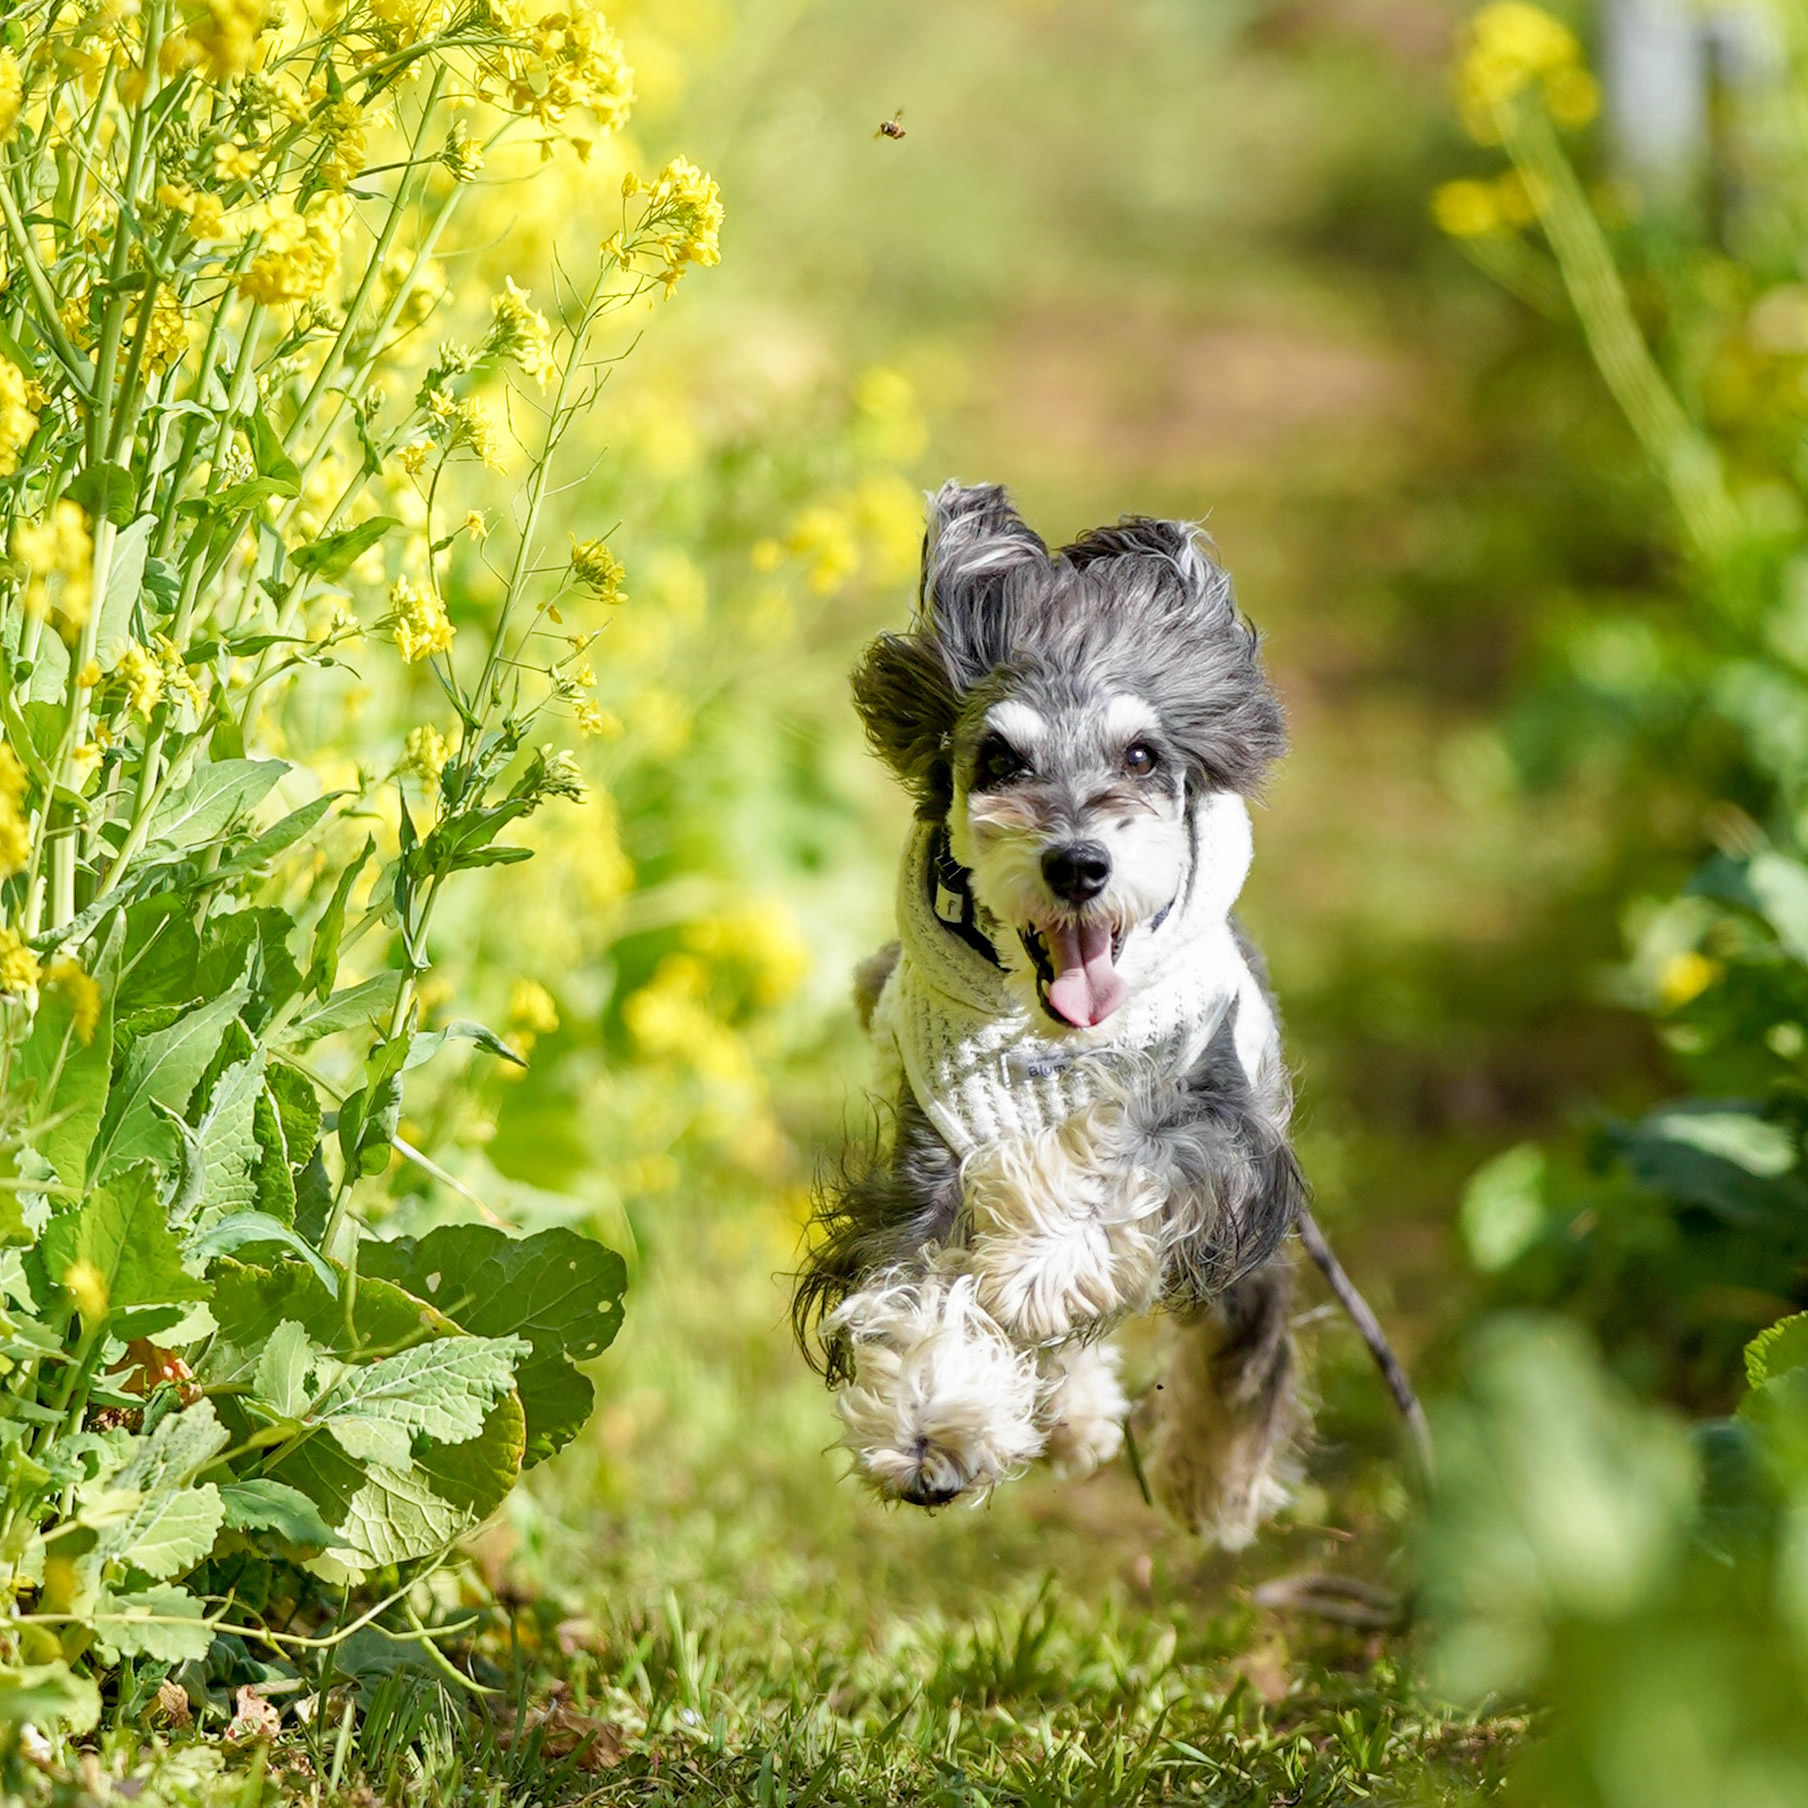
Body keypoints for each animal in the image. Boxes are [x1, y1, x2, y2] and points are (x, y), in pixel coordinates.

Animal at [799, 484, 1308, 1554]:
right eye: (997, 758)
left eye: (1143, 755)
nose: (1077, 864)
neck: (1051, 1044)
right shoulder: (929, 1154)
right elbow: (920, 1285)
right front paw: (929, 1430)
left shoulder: (1223, 1137)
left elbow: (1126, 1179)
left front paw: (1039, 1266)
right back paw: (1069, 1417)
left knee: (1239, 1348)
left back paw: (1214, 1480)